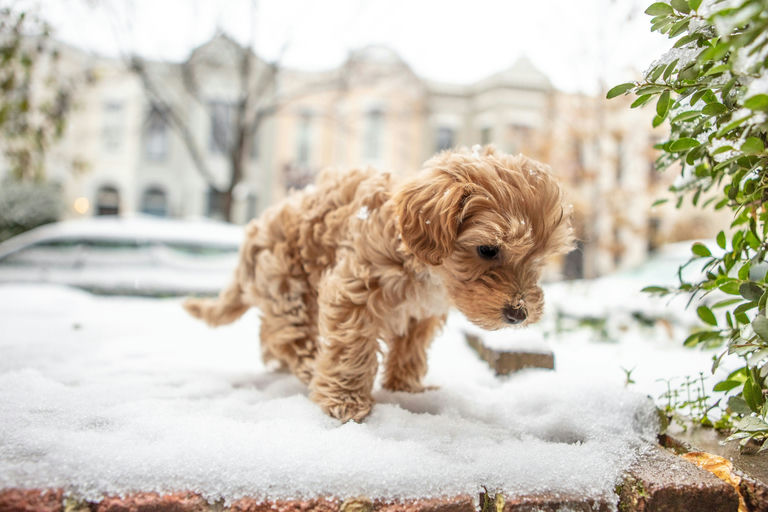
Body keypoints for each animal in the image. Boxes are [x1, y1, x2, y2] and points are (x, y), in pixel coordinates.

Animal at [184, 146, 568, 422]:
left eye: (538, 259)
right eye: (488, 250)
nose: (520, 314)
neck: (427, 271)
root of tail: (252, 234)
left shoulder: (422, 313)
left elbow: (410, 348)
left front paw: (406, 388)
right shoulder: (353, 288)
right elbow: (351, 347)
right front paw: (345, 402)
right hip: (285, 284)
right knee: (290, 335)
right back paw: (309, 367)